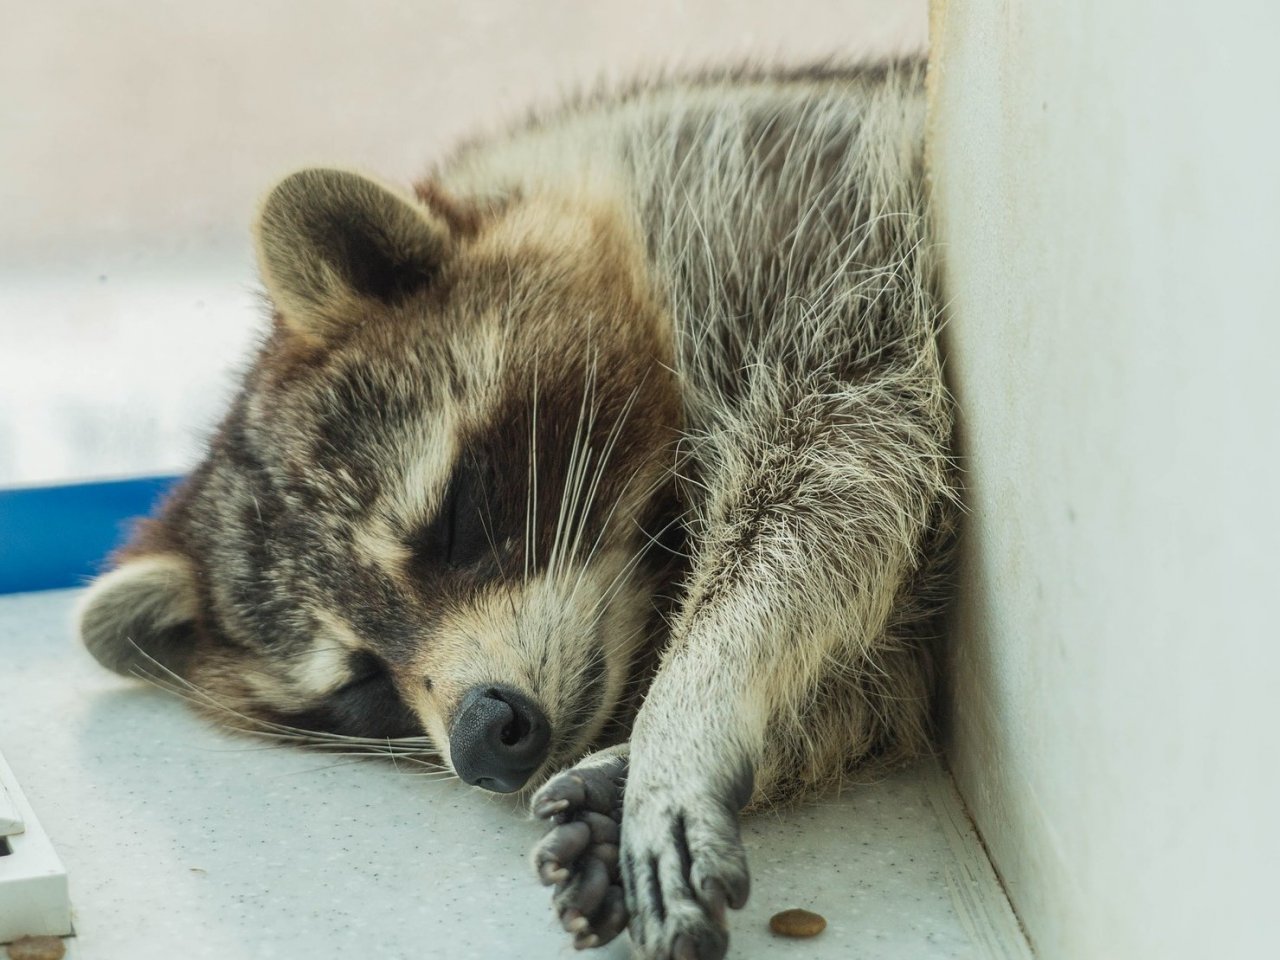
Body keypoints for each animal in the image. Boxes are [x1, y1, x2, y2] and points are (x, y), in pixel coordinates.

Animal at [74, 60, 957, 960]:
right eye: (360, 683)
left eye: (454, 521)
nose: (479, 737)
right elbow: (866, 674)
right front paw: (650, 753)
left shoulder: (805, 230)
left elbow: (841, 475)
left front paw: (690, 705)